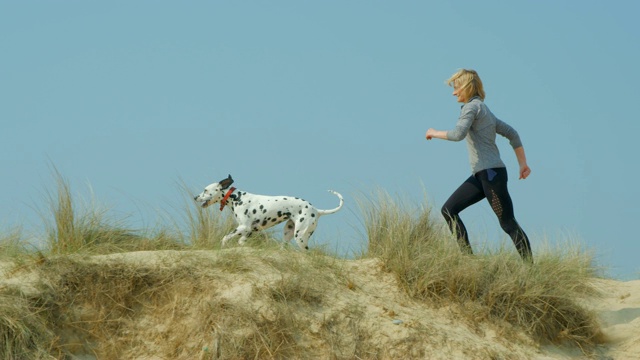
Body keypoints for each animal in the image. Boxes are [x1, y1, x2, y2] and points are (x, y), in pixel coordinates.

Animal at [194, 175, 344, 250]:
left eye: (206, 190)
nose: (195, 197)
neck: (238, 198)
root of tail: (316, 210)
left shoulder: (243, 227)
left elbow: (225, 237)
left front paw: (223, 246)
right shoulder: (249, 230)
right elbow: (241, 242)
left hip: (300, 236)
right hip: (288, 232)